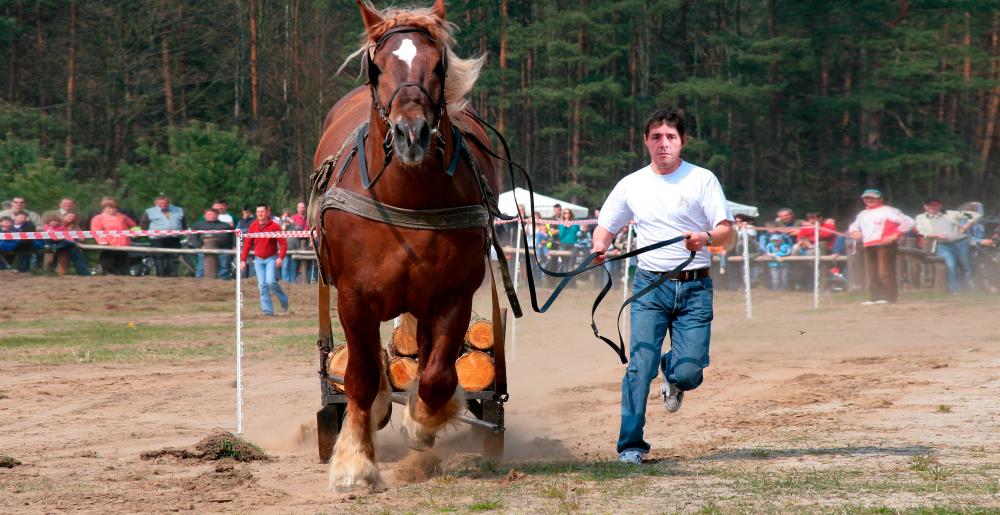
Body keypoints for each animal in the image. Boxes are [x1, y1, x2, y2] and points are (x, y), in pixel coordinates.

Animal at [306, 0, 504, 492]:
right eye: (377, 67)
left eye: (438, 65)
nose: (411, 134)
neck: (409, 195)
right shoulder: (354, 297)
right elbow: (359, 377)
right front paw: (355, 463)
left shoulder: (453, 295)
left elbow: (436, 376)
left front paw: (421, 420)